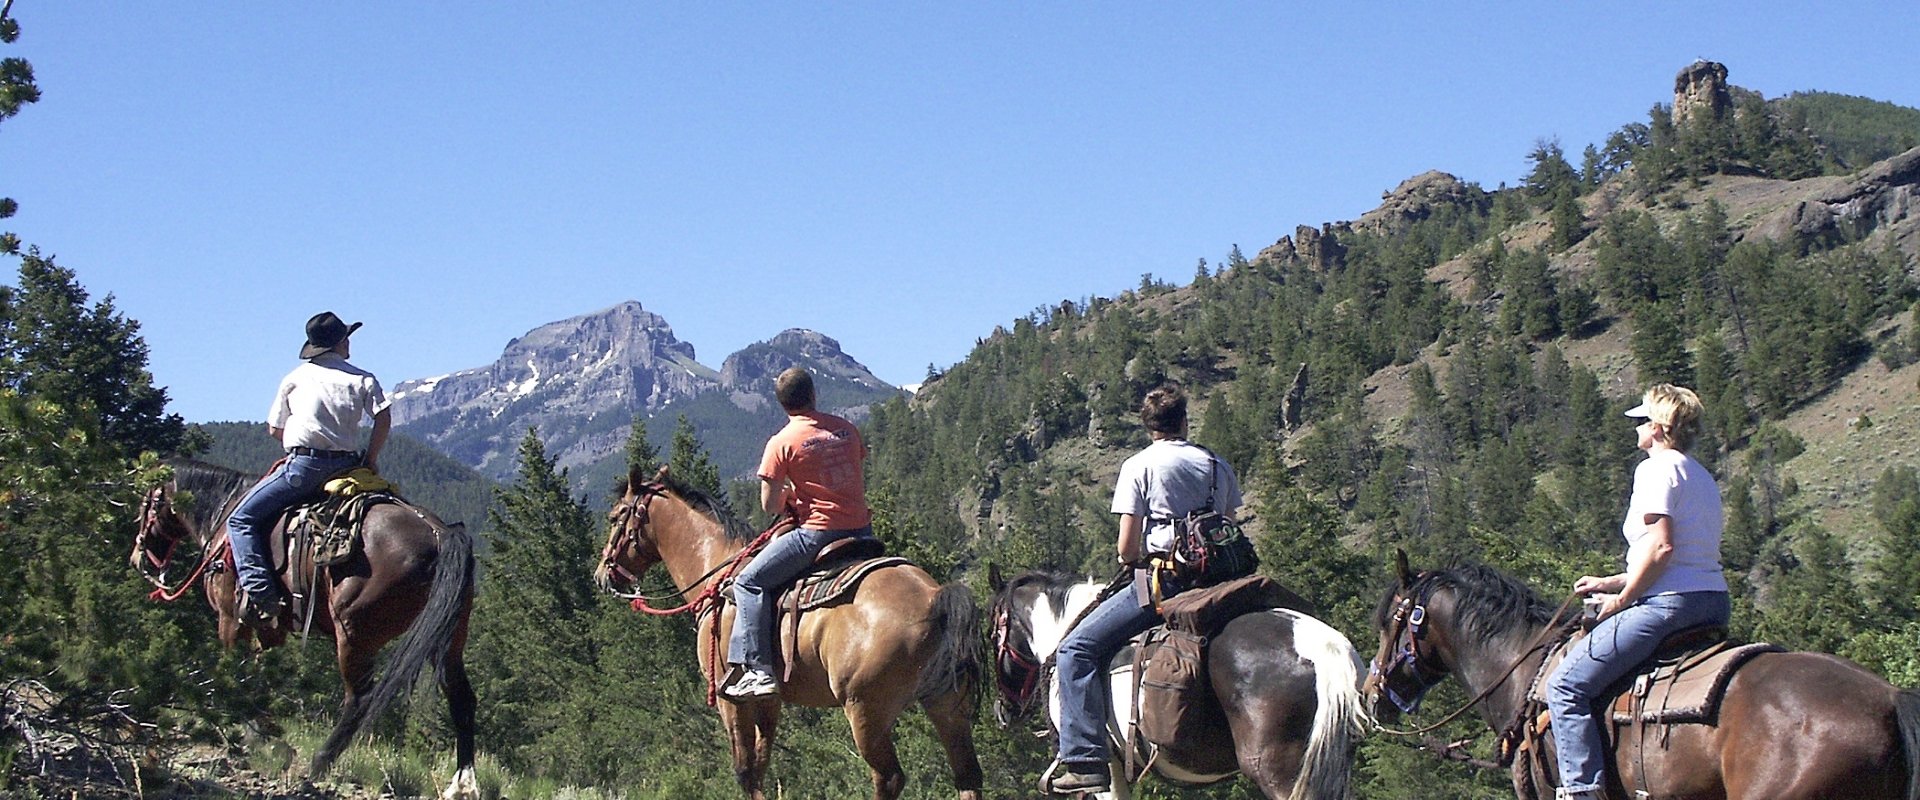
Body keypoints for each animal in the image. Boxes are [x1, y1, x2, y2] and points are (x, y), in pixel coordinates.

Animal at [131, 458, 480, 794]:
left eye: (145, 504)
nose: (138, 558)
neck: (225, 511)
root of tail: (441, 534)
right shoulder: (271, 628)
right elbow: (260, 675)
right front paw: (263, 733)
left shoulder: (230, 619)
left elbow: (235, 673)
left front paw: (236, 729)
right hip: (447, 639)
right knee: (461, 698)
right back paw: (462, 785)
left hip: (354, 635)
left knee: (359, 700)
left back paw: (320, 762)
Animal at [595, 464, 990, 794]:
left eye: (615, 516)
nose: (602, 575)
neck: (717, 569)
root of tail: (934, 597)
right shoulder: (768, 699)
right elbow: (761, 764)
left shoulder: (729, 697)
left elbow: (745, 771)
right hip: (946, 704)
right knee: (967, 775)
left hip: (865, 711)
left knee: (888, 778)